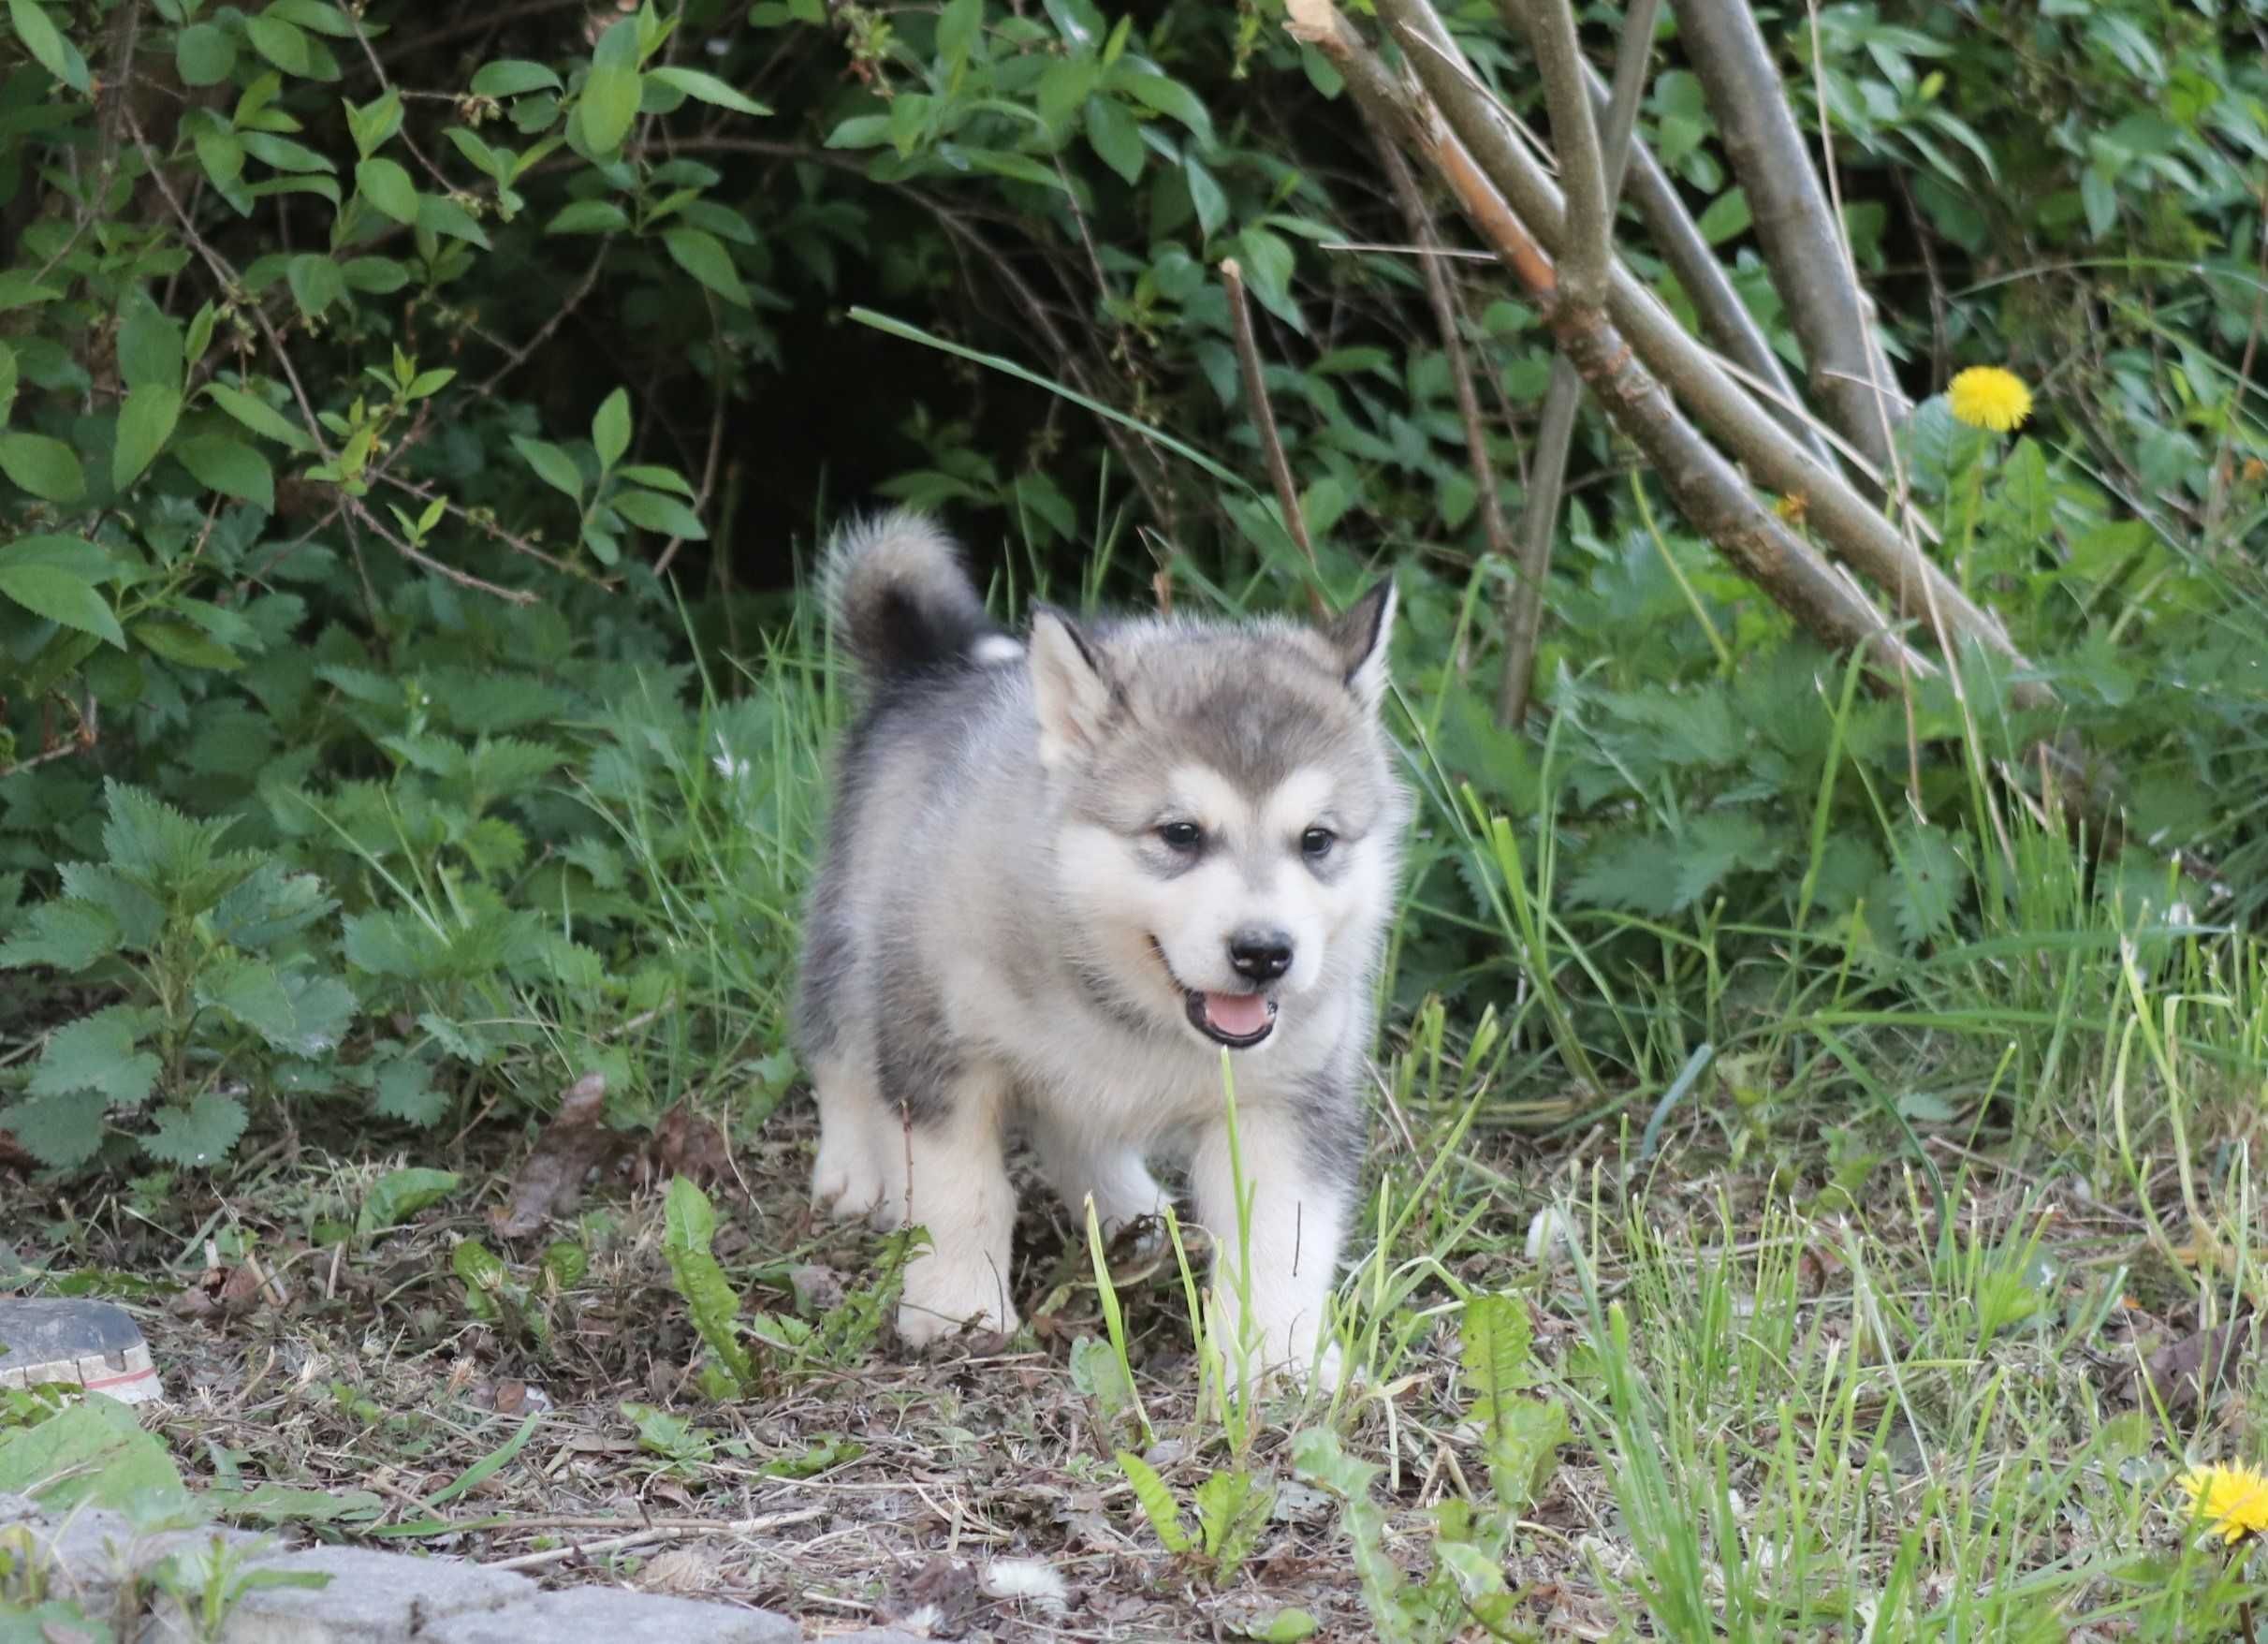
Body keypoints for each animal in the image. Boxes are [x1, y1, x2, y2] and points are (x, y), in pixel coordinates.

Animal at [794, 506, 1397, 1378]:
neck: (1127, 1006)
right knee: (838, 1047)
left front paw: (1276, 1359)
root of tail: (933, 666)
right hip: (855, 925)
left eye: (1316, 840)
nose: (1264, 954)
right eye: (1179, 834)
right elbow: (961, 1189)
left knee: (1074, 1128)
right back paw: (854, 1171)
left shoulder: (1288, 1096)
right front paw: (957, 1311)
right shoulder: (945, 1048)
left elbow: (1281, 1233)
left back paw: (1132, 1213)